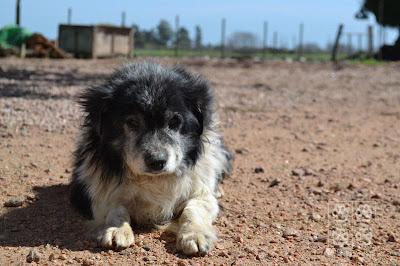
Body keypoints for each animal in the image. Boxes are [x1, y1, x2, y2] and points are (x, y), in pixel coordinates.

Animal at [70, 62, 233, 256]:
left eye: (174, 122)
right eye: (132, 122)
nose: (157, 162)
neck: (154, 179)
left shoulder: (201, 192)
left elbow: (194, 208)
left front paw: (195, 235)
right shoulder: (90, 192)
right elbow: (114, 206)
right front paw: (117, 229)